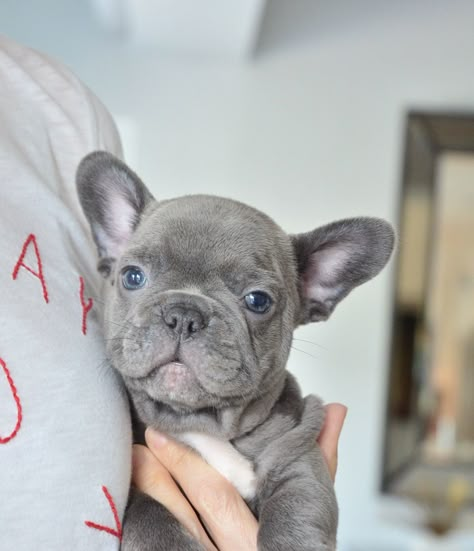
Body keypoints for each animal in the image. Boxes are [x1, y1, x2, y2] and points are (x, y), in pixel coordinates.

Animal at [78, 152, 394, 551]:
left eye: (258, 301)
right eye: (132, 276)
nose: (184, 314)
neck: (202, 426)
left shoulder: (298, 457)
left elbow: (296, 512)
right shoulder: (137, 482)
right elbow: (150, 514)